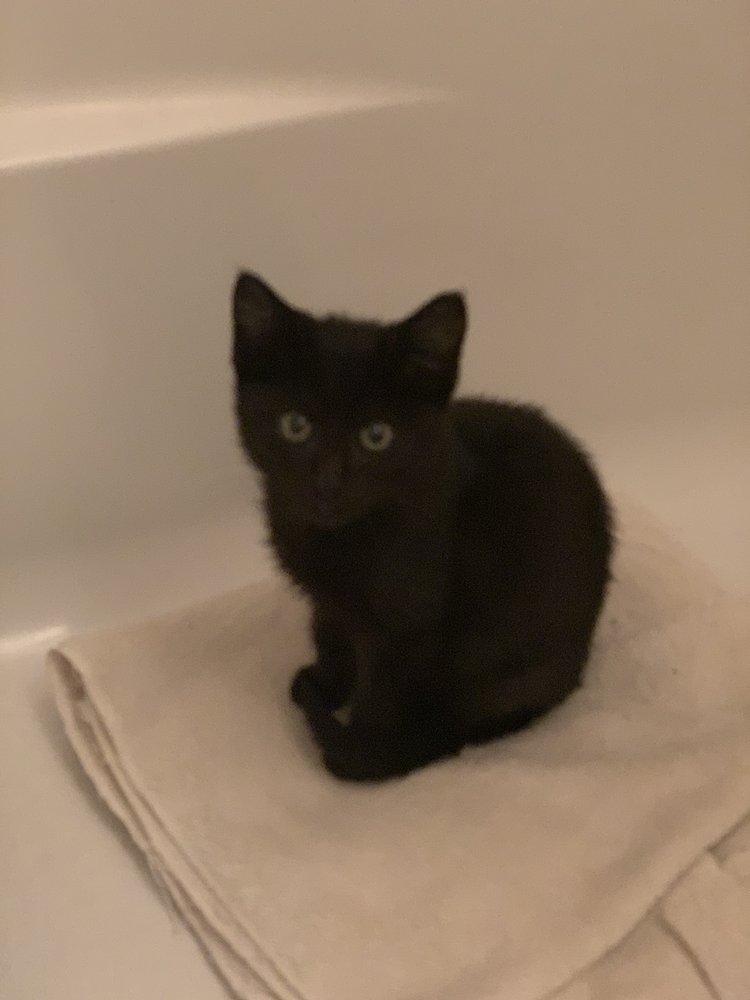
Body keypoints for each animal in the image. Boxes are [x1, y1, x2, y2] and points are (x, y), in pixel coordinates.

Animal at [232, 272, 613, 782]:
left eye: (377, 436)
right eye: (295, 425)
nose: (328, 483)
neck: (344, 537)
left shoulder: (409, 627)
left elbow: (381, 692)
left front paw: (360, 749)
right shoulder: (330, 601)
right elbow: (331, 633)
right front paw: (326, 682)